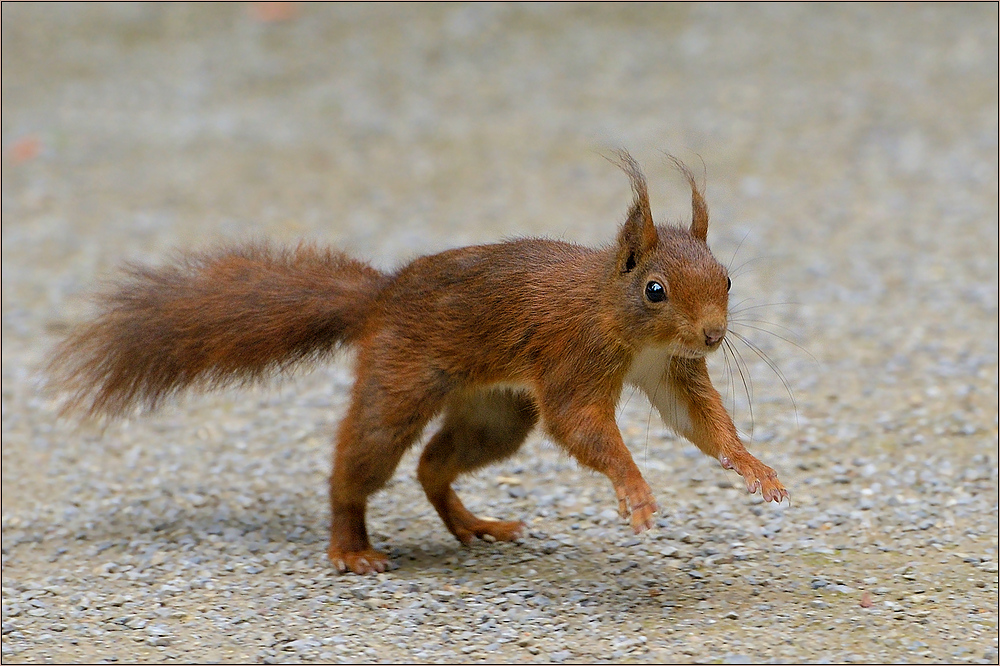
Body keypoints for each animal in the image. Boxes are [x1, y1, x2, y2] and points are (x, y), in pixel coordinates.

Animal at [50, 150, 788, 572]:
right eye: (655, 289)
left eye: (727, 279)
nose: (713, 335)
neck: (619, 318)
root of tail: (381, 297)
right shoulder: (574, 359)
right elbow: (583, 427)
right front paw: (635, 491)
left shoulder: (671, 371)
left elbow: (700, 422)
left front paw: (752, 467)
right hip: (400, 380)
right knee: (361, 463)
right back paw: (350, 547)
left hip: (496, 413)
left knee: (435, 464)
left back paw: (472, 523)